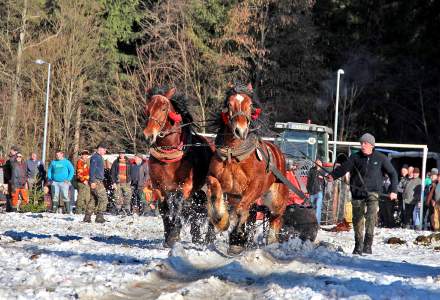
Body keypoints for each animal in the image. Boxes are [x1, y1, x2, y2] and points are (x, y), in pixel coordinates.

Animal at [144, 85, 214, 247]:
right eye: (147, 108)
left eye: (163, 108)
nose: (148, 135)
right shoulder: (158, 187)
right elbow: (164, 209)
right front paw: (168, 235)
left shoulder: (185, 186)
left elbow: (178, 207)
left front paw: (174, 235)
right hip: (198, 193)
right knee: (195, 212)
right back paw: (196, 236)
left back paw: (209, 238)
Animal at [207, 83, 290, 254]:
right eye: (229, 104)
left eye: (250, 105)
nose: (241, 130)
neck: (233, 154)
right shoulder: (219, 181)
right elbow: (216, 192)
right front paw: (221, 220)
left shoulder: (255, 186)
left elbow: (240, 211)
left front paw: (237, 235)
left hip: (276, 199)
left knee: (275, 217)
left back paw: (271, 242)